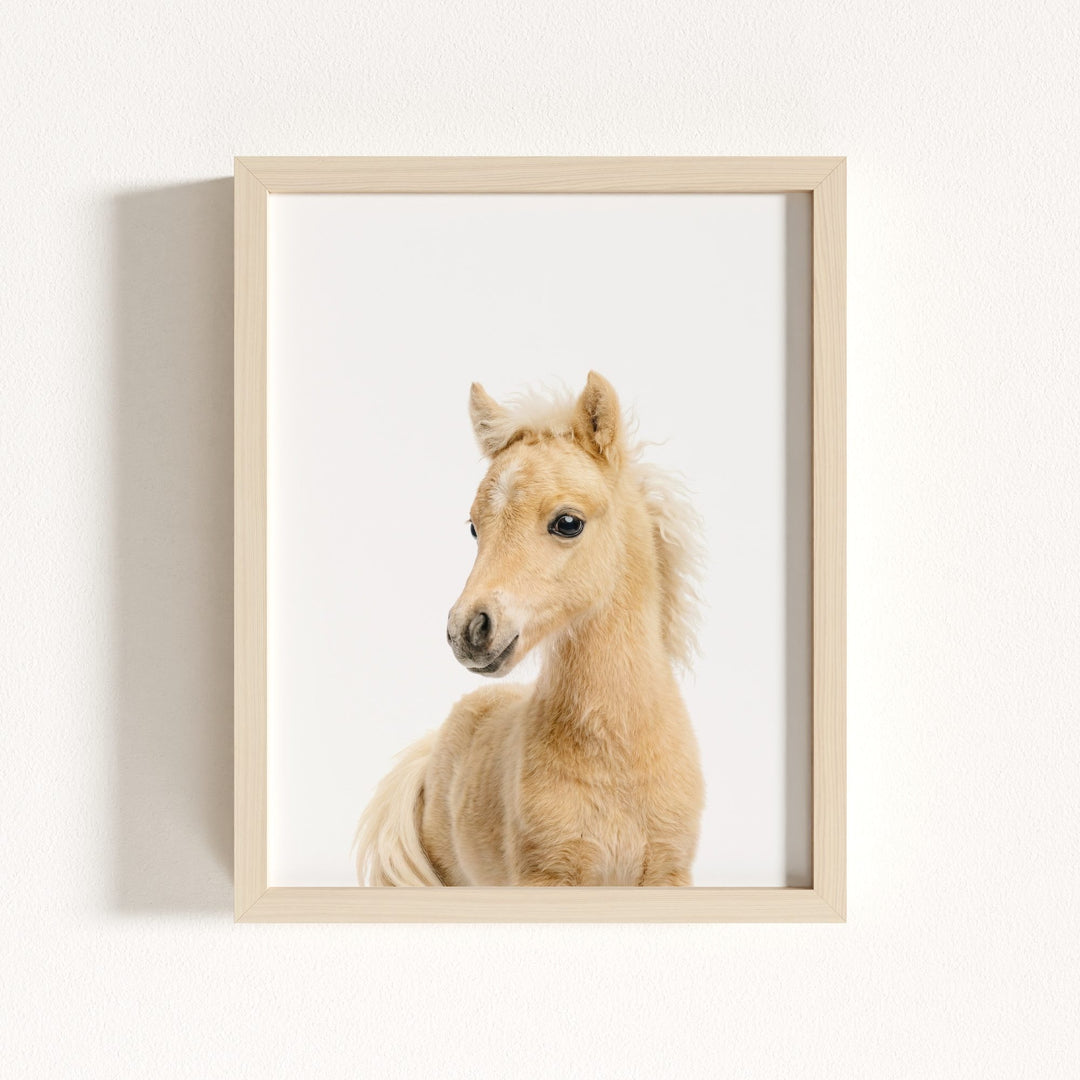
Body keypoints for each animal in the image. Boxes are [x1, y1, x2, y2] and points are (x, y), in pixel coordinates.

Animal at [355, 371, 705, 886]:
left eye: (568, 522)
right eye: (474, 527)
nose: (468, 630)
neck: (618, 758)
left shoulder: (668, 874)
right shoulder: (545, 877)